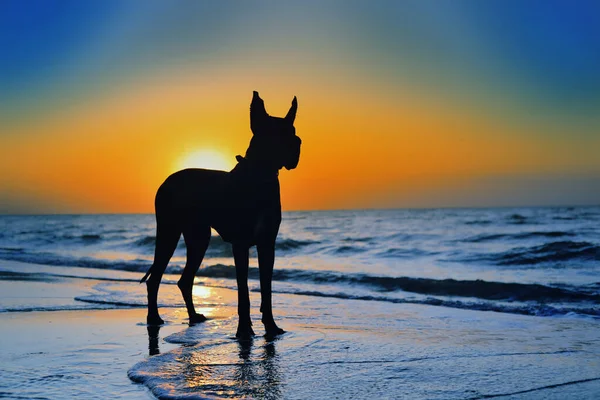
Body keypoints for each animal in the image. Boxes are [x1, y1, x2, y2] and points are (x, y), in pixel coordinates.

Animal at [140, 90, 300, 338]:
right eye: (274, 133)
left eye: (292, 131)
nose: (297, 144)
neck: (260, 177)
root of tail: (167, 180)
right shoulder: (241, 244)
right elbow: (243, 291)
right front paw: (244, 330)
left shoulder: (267, 244)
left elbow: (267, 288)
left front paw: (271, 326)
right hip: (169, 231)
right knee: (155, 277)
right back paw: (153, 318)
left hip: (199, 238)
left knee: (185, 280)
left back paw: (193, 316)